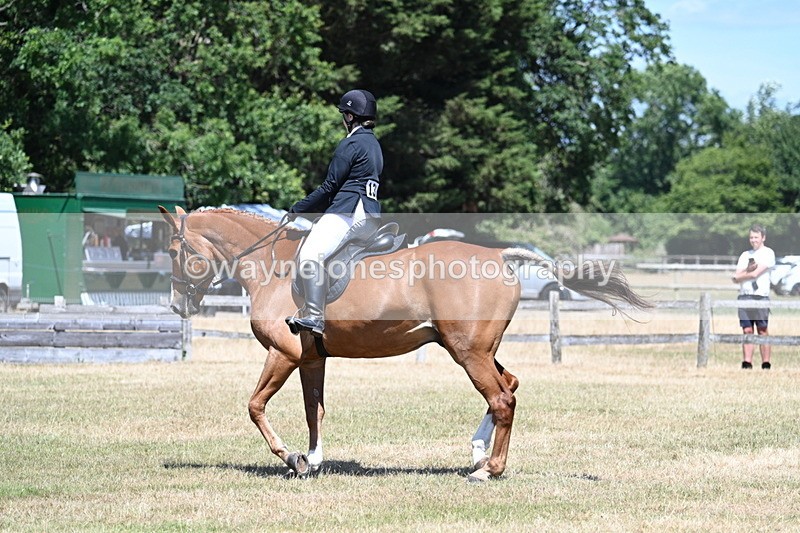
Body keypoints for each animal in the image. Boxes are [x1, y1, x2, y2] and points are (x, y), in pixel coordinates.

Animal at [159, 205, 649, 482]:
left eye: (173, 251)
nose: (178, 304)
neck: (271, 266)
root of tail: (499, 255)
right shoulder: (312, 358)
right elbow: (314, 409)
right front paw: (313, 461)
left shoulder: (285, 353)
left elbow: (255, 405)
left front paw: (291, 459)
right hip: (475, 348)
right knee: (508, 387)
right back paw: (477, 456)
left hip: (468, 352)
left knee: (501, 399)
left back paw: (489, 471)